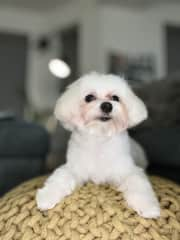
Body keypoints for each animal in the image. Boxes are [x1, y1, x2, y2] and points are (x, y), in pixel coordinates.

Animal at [36, 72, 160, 218]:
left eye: (115, 98)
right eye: (89, 97)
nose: (107, 105)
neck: (99, 137)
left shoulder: (128, 170)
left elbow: (138, 184)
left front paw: (148, 206)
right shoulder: (74, 168)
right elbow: (60, 178)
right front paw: (47, 196)